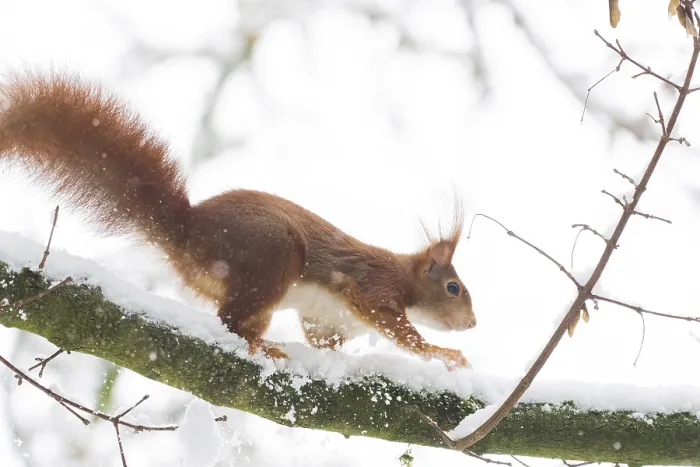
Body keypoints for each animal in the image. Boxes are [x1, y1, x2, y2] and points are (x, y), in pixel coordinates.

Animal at [0, 70, 476, 370]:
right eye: (453, 288)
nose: (473, 325)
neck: (405, 277)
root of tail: (189, 233)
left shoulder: (328, 323)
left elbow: (325, 342)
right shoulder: (372, 285)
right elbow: (400, 329)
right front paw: (441, 353)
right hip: (272, 259)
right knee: (229, 320)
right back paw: (260, 345)